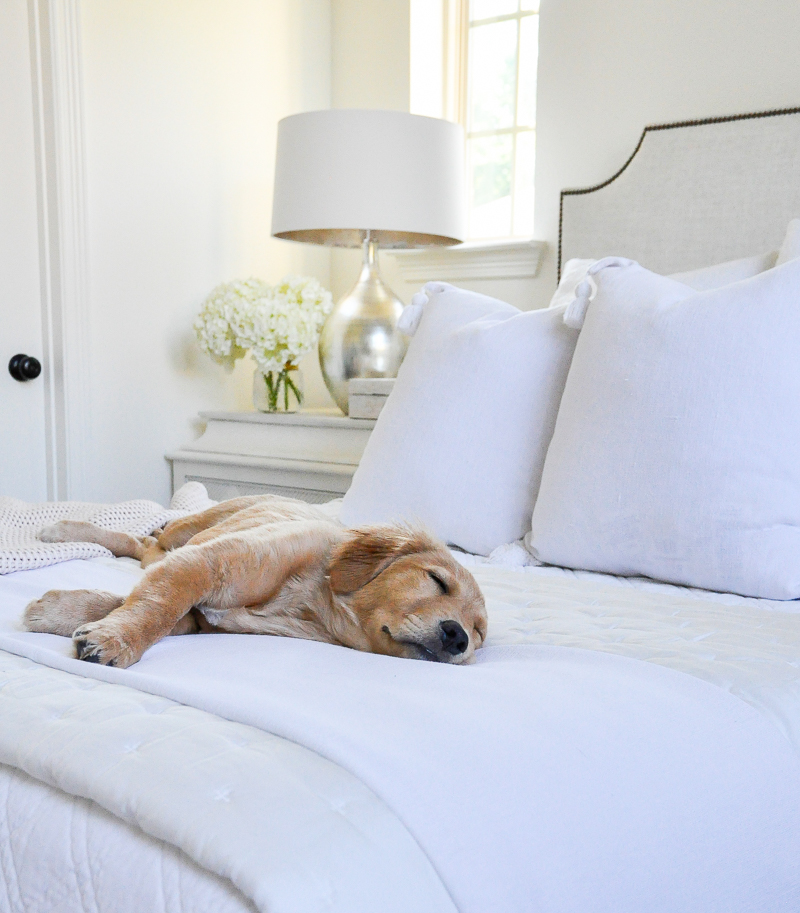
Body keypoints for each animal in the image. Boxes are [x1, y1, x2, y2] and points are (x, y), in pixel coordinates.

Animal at [23, 492, 488, 668]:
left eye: (480, 633)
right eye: (437, 581)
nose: (457, 636)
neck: (309, 602)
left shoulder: (198, 613)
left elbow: (147, 605)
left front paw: (60, 612)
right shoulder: (203, 563)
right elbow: (157, 606)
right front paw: (115, 637)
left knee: (146, 553)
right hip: (189, 530)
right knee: (141, 539)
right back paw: (60, 530)